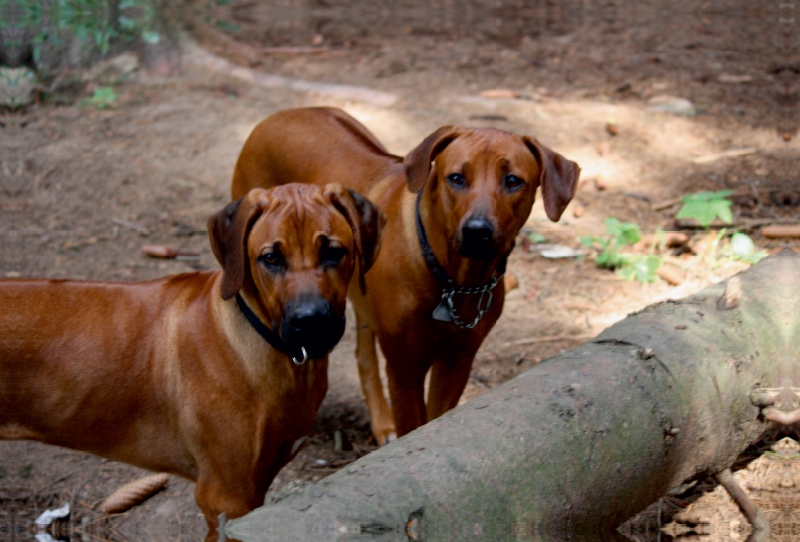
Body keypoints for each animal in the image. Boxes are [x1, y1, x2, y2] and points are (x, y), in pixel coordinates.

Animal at [231, 107, 580, 446]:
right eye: (456, 178)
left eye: (513, 180)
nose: (477, 231)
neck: (455, 282)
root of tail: (278, 116)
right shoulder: (404, 369)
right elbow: (413, 425)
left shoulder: (457, 361)